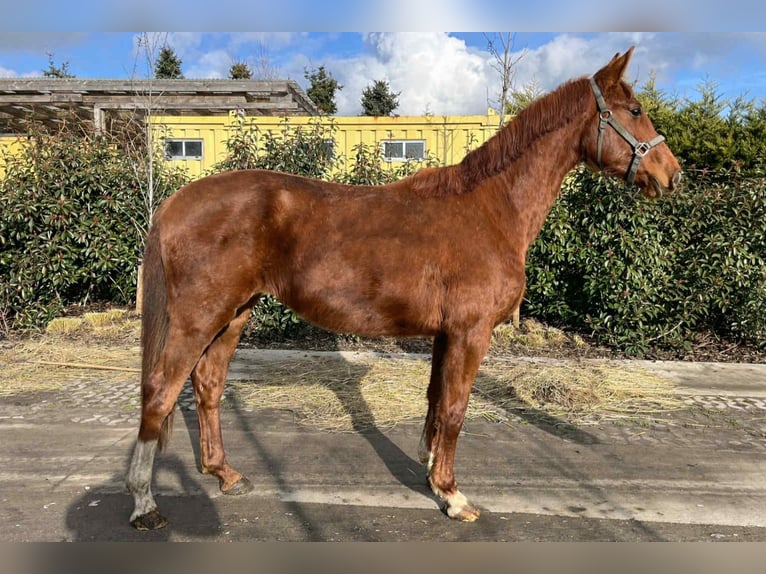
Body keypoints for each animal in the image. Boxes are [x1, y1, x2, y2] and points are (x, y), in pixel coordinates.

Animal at [126, 47, 682, 529]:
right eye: (635, 110)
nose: (671, 174)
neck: (491, 208)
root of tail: (175, 201)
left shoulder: (446, 334)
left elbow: (436, 400)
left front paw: (431, 471)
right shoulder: (470, 332)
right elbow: (455, 409)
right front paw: (454, 496)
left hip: (236, 313)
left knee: (207, 386)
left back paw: (225, 474)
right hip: (199, 317)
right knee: (160, 390)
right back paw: (144, 503)